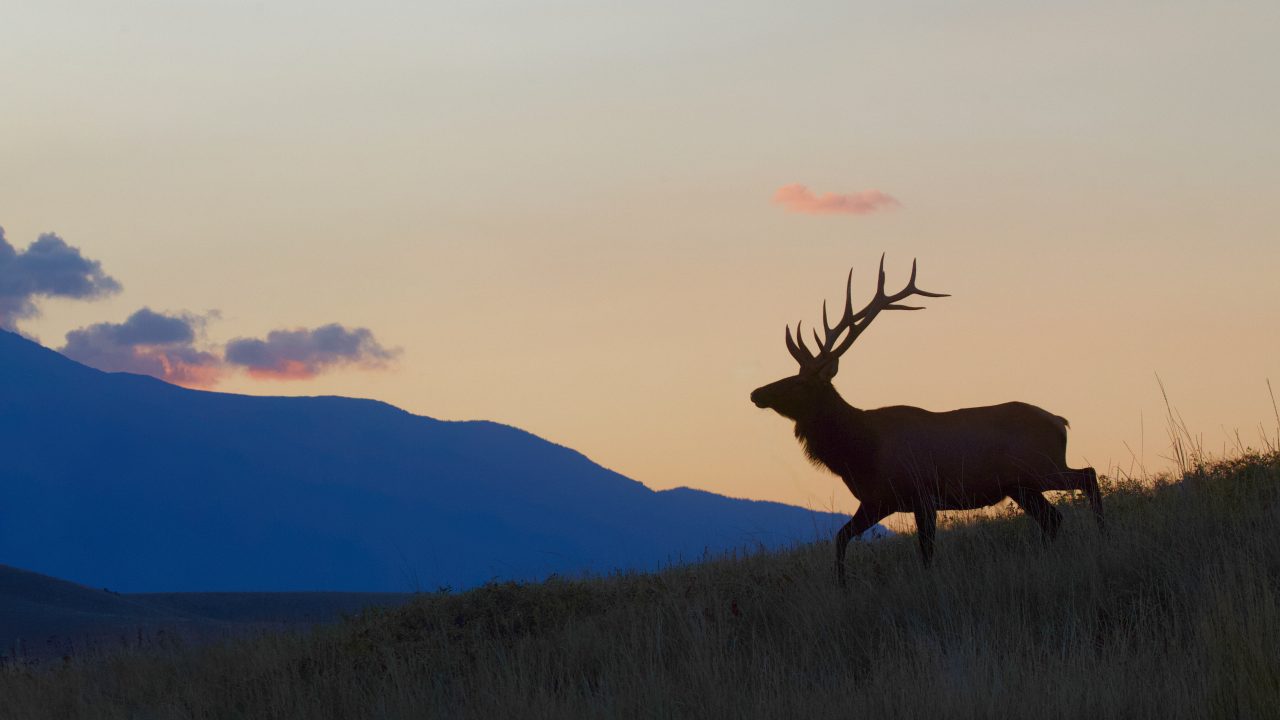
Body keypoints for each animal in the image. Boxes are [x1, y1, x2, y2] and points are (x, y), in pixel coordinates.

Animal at [749, 256, 1104, 585]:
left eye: (799, 382)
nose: (756, 393)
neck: (862, 453)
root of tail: (1060, 422)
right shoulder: (878, 500)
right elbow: (840, 538)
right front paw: (841, 586)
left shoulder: (922, 493)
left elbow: (926, 551)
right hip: (1022, 485)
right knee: (1053, 518)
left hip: (1040, 467)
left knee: (1087, 476)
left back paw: (1101, 533)